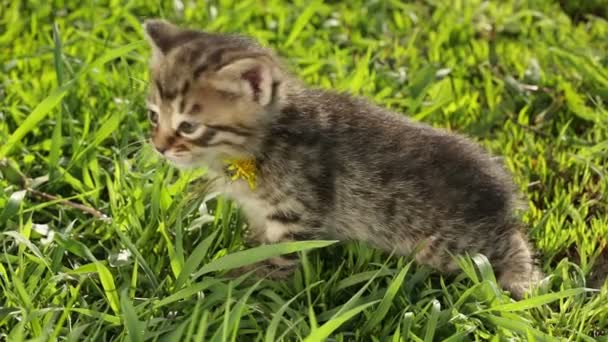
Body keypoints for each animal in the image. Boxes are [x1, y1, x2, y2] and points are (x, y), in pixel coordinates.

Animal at [142, 18, 540, 298]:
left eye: (188, 126)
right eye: (153, 116)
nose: (159, 147)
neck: (263, 143)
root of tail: (505, 194)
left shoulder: (298, 212)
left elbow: (283, 256)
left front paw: (247, 281)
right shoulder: (261, 211)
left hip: (450, 245)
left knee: (513, 244)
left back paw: (523, 280)